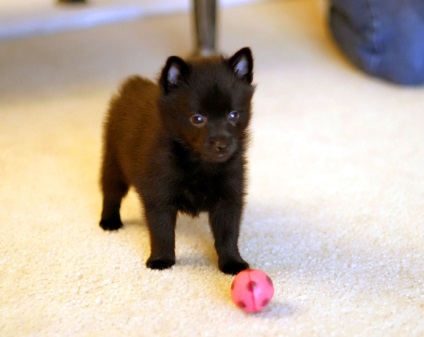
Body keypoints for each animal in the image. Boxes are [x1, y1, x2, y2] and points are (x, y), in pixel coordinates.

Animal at [100, 46, 255, 272]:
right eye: (197, 119)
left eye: (233, 115)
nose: (222, 145)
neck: (199, 163)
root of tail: (132, 85)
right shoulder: (159, 196)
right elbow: (162, 232)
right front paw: (161, 260)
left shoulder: (229, 196)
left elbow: (228, 234)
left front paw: (232, 262)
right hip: (113, 161)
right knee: (111, 191)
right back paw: (109, 221)